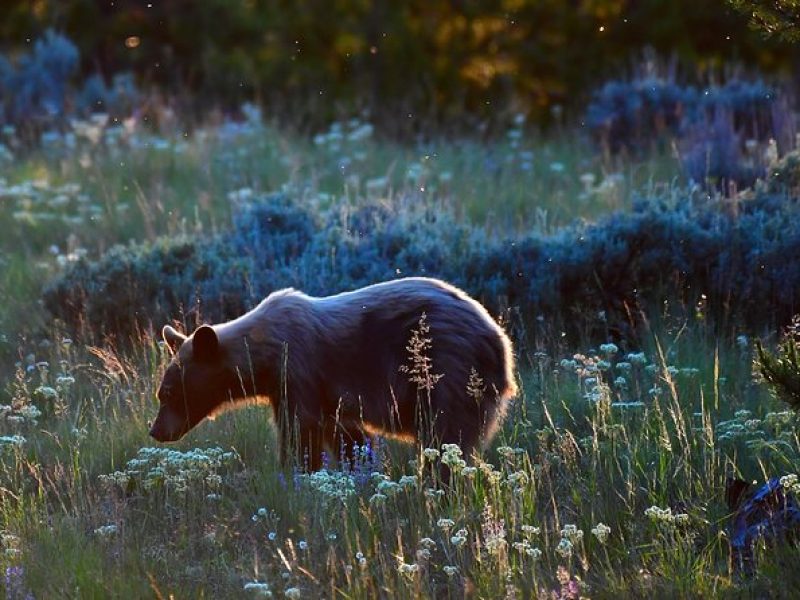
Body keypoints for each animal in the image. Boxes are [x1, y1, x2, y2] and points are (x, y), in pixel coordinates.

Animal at [150, 276, 520, 468]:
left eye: (167, 393)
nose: (156, 431)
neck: (266, 355)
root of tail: (500, 341)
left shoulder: (300, 372)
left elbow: (301, 432)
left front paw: (296, 473)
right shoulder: (318, 394)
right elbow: (346, 436)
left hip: (445, 369)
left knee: (444, 437)